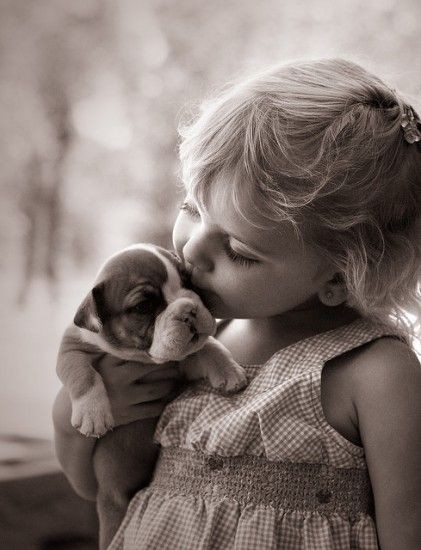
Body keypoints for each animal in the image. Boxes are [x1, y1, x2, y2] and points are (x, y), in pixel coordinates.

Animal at [55, 246, 246, 550]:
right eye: (143, 307)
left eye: (189, 283)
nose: (189, 310)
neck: (142, 358)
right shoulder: (71, 348)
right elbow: (83, 375)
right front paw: (93, 414)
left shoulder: (180, 361)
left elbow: (207, 347)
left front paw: (228, 370)